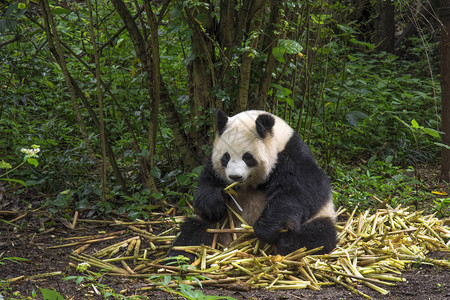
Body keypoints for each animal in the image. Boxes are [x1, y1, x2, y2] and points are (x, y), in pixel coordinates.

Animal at [170, 110, 338, 260]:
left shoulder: (293, 156)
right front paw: (214, 203)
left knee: (316, 235)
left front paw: (266, 228)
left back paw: (287, 243)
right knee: (193, 235)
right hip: (217, 226)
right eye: (226, 157)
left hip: (320, 217)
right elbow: (206, 185)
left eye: (247, 157)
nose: (235, 176)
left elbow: (300, 192)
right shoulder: (212, 166)